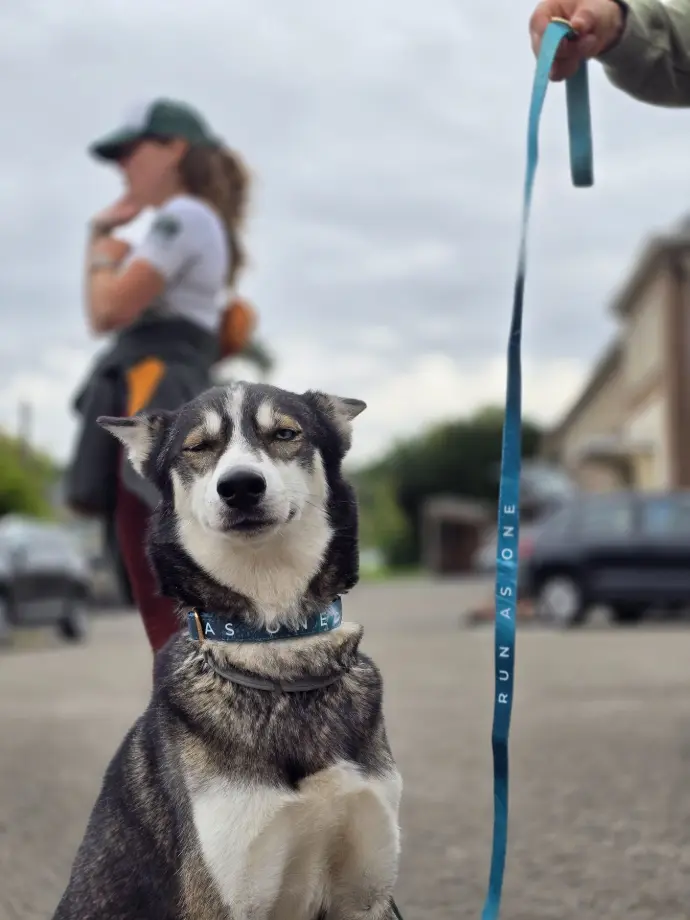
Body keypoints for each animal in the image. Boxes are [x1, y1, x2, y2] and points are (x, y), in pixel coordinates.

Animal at [52, 382, 402, 920]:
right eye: (197, 447)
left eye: (285, 433)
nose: (239, 486)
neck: (278, 646)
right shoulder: (220, 895)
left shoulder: (365, 893)